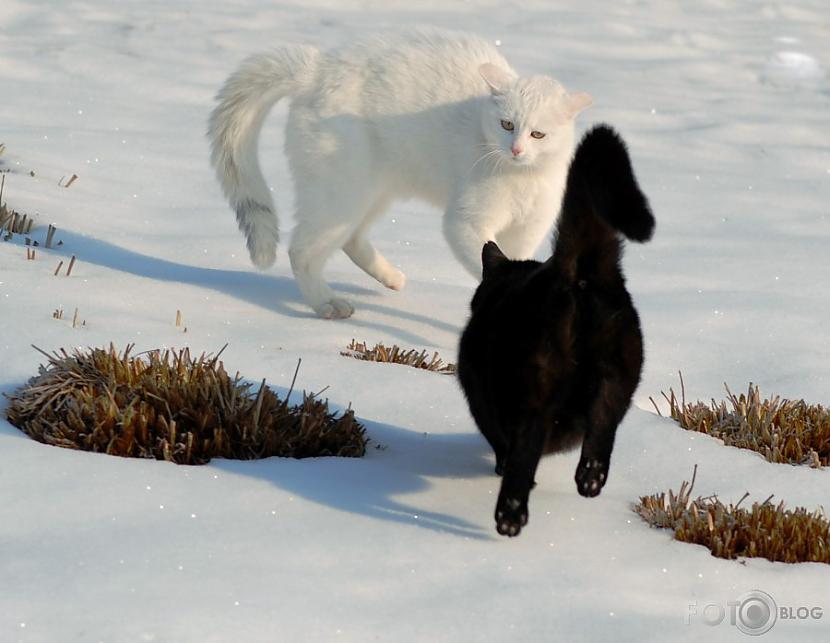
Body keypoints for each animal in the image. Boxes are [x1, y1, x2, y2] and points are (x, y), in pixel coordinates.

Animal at [211, 27, 596, 320]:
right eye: (506, 125)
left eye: (538, 134)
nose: (515, 150)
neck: (522, 179)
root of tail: (317, 69)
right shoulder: (465, 223)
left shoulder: (526, 230)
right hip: (341, 194)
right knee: (303, 251)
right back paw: (327, 303)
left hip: (374, 193)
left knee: (352, 239)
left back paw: (392, 278)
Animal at [456, 123, 656, 536]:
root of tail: (573, 274)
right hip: (619, 376)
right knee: (603, 428)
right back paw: (589, 479)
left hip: (533, 392)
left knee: (523, 455)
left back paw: (510, 517)